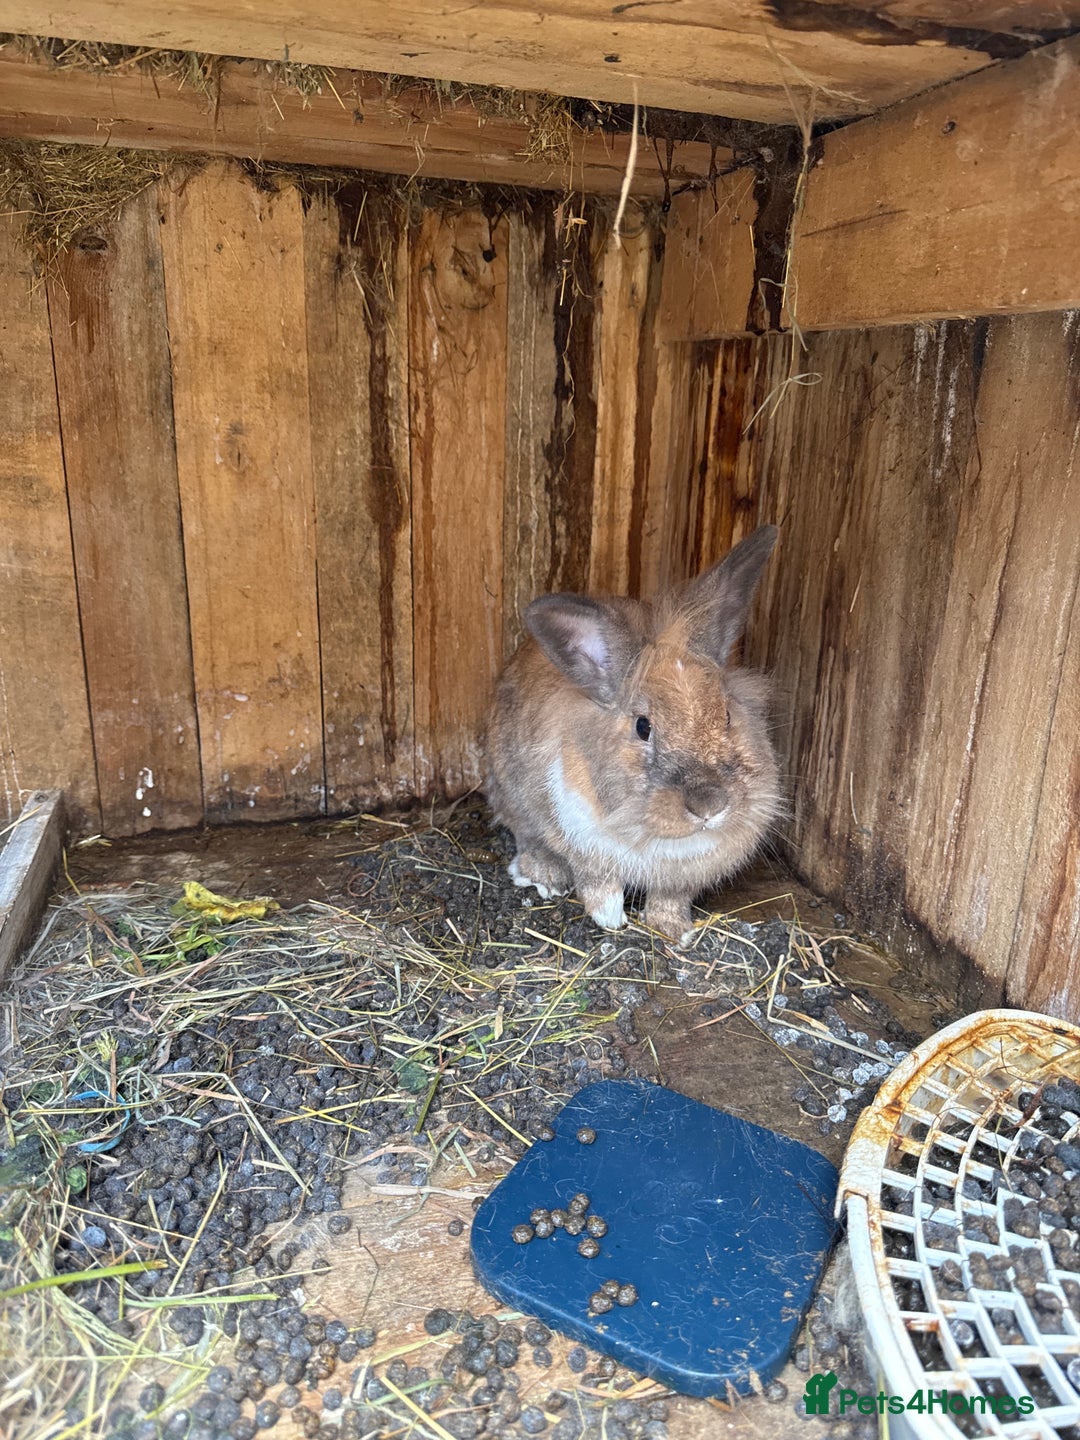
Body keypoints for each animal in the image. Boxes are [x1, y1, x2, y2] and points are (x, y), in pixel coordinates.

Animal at [485, 525, 781, 945]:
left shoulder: (680, 880)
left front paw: (674, 931)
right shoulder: (586, 848)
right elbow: (599, 886)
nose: (709, 805)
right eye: (643, 726)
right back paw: (545, 875)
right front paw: (611, 921)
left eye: (726, 715)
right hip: (511, 791)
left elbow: (670, 899)